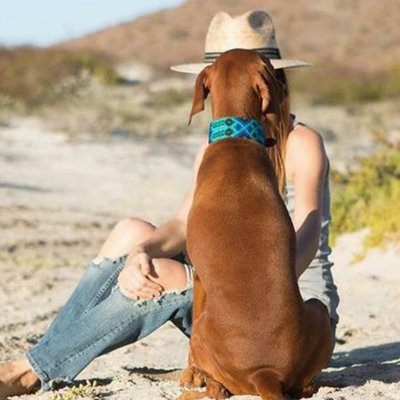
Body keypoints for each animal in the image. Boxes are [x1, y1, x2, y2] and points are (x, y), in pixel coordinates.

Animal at [180, 50, 332, 400]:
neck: (235, 138)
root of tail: (266, 374)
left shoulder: (200, 279)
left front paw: (191, 374)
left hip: (203, 332)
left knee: (216, 387)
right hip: (318, 312)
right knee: (304, 385)